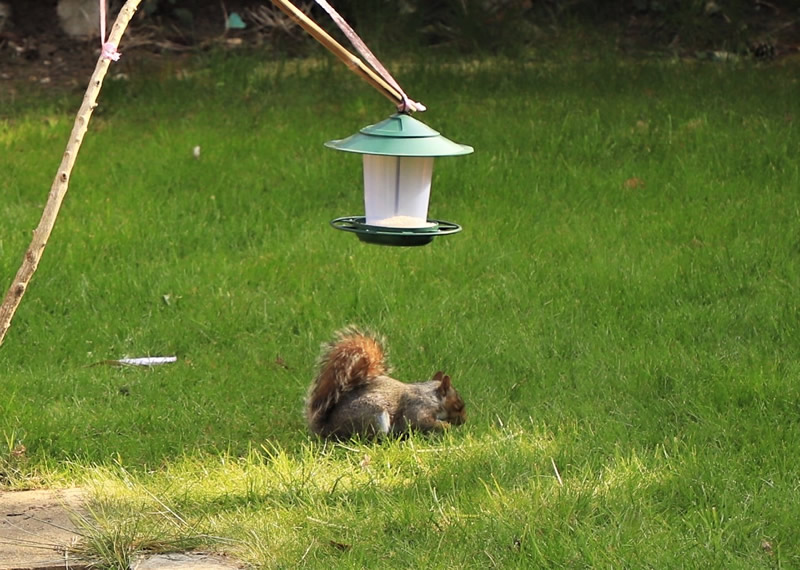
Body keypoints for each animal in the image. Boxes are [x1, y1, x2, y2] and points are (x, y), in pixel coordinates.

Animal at [306, 324, 468, 440]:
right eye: (458, 405)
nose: (464, 421)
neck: (432, 396)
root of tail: (327, 428)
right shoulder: (419, 407)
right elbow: (421, 421)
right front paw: (446, 426)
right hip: (374, 416)